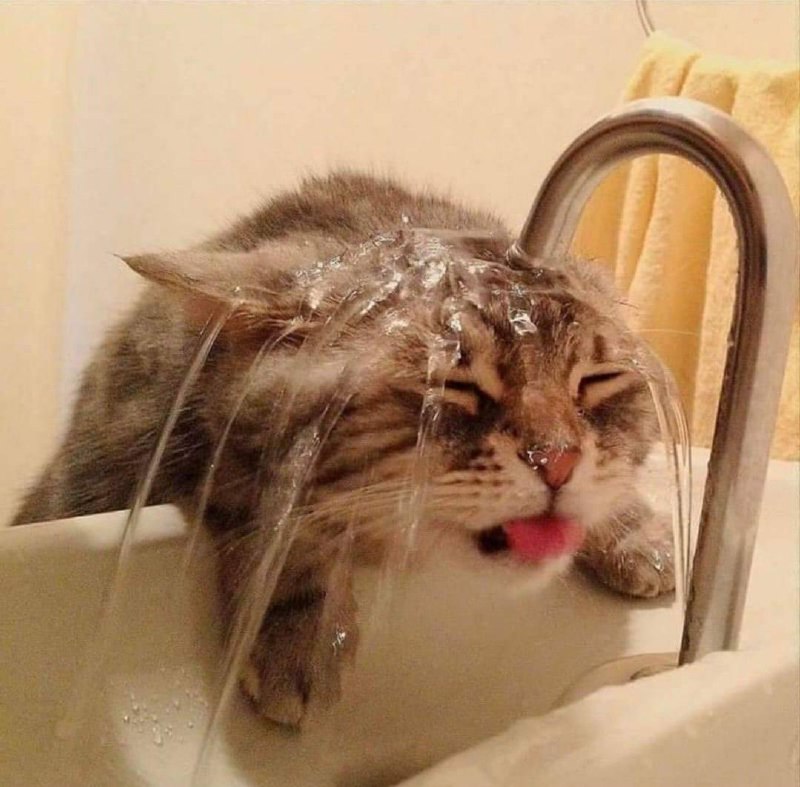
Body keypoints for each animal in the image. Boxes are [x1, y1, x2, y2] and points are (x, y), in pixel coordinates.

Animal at [11, 171, 675, 727]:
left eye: (595, 381)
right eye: (453, 386)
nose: (558, 462)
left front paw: (636, 534)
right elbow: (284, 520)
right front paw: (299, 637)